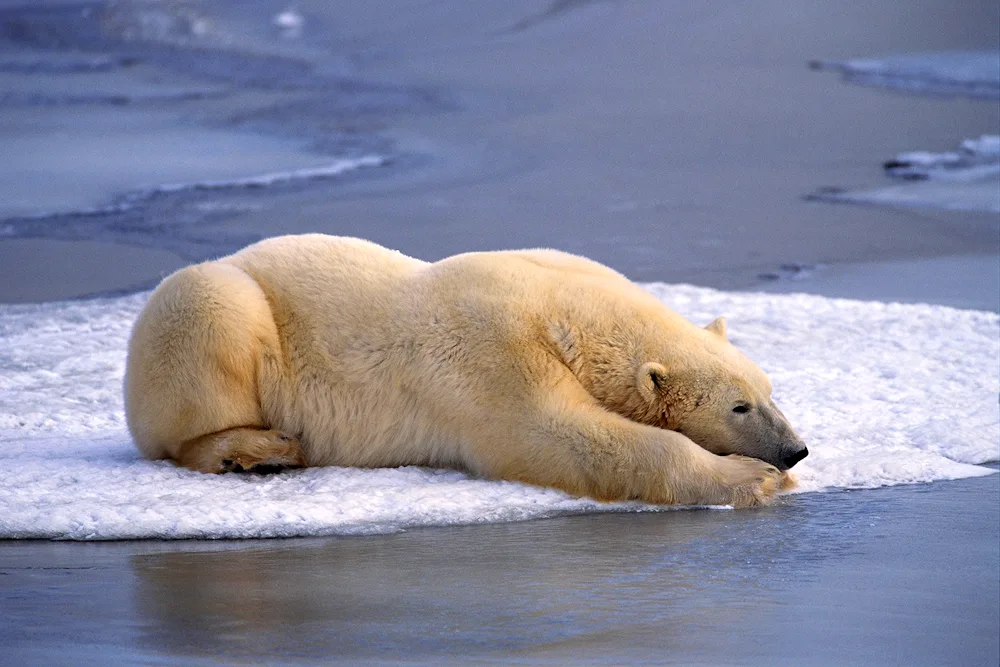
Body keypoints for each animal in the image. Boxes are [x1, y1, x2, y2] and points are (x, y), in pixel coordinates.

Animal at [125, 235, 808, 506]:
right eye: (739, 406)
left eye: (770, 390)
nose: (795, 449)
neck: (559, 307)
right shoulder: (491, 354)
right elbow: (560, 437)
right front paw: (751, 478)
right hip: (217, 307)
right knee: (209, 321)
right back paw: (257, 450)